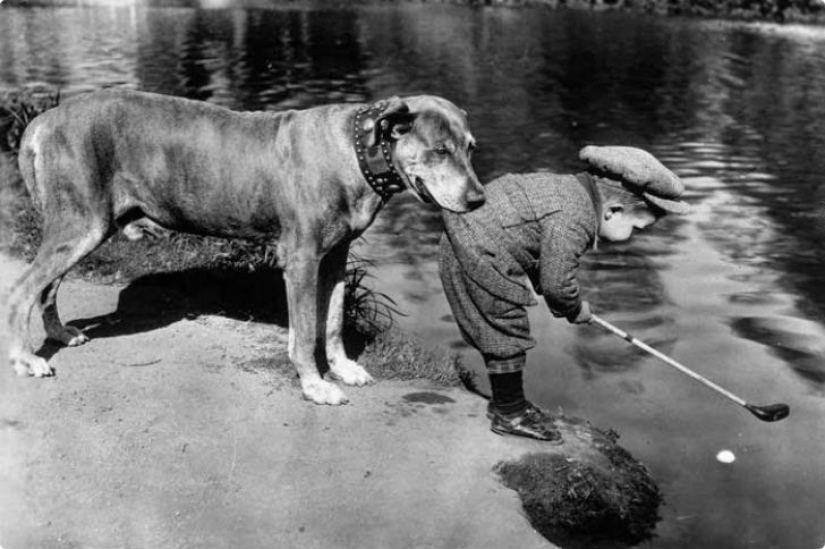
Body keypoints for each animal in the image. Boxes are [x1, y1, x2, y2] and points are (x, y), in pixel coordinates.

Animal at [6, 90, 482, 402]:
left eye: (470, 148)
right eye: (440, 150)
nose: (479, 199)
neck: (356, 149)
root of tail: (45, 118)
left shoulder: (334, 257)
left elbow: (331, 321)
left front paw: (343, 369)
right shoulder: (302, 260)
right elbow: (305, 330)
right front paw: (315, 385)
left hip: (85, 227)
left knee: (46, 287)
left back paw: (59, 333)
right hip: (81, 224)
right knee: (21, 290)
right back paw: (26, 359)